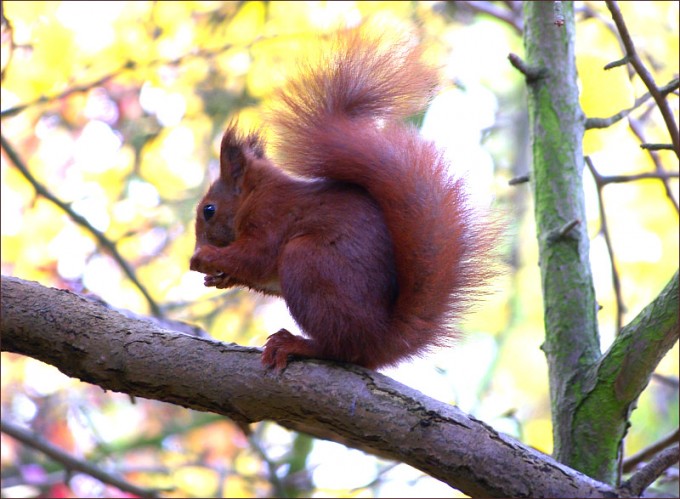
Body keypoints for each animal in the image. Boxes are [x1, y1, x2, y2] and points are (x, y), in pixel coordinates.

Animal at [189, 28, 497, 371]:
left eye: (209, 210)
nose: (198, 246)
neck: (256, 194)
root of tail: (380, 340)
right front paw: (216, 278)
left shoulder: (270, 217)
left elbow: (255, 257)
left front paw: (205, 257)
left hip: (308, 263)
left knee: (341, 347)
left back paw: (296, 344)